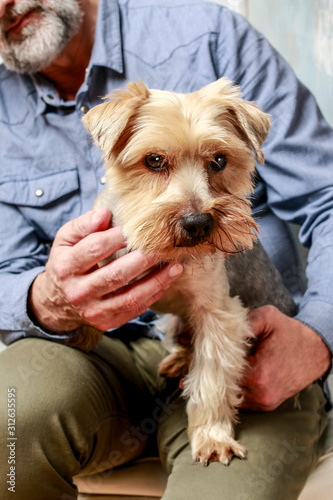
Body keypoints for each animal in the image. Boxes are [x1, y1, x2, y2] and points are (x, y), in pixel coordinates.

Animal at [80, 78, 272, 464]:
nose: (198, 223)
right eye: (154, 160)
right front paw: (80, 327)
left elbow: (212, 375)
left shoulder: (218, 312)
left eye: (219, 160)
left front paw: (212, 437)